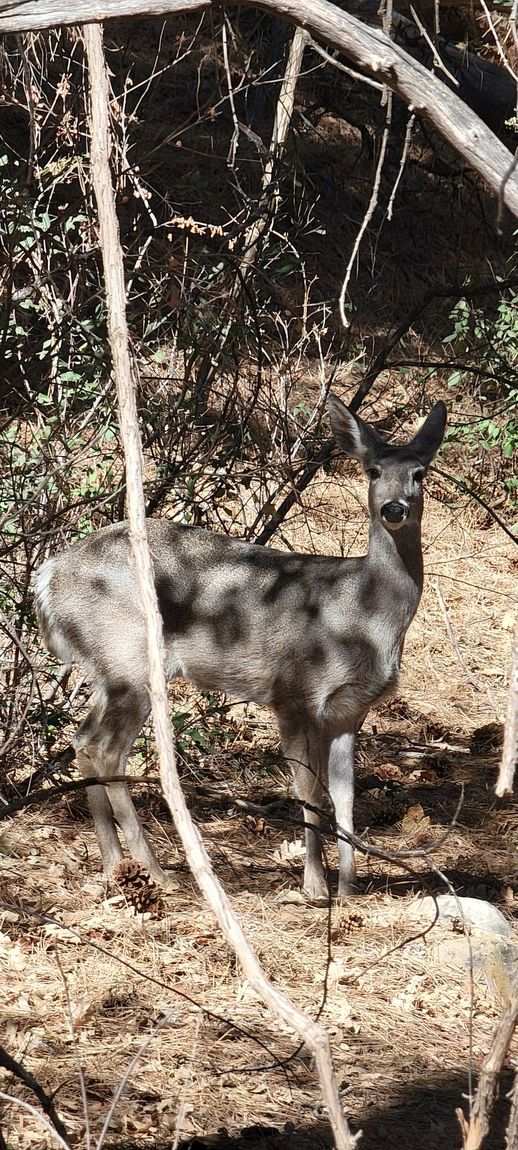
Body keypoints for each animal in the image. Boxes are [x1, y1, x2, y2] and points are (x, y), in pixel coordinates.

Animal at [33, 395, 444, 897]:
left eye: (420, 472)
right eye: (372, 470)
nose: (394, 508)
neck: (362, 614)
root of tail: (48, 576)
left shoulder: (351, 709)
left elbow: (346, 797)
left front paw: (349, 889)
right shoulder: (295, 692)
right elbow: (309, 791)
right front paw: (315, 887)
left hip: (108, 668)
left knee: (81, 739)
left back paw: (115, 864)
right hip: (130, 660)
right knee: (105, 748)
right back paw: (155, 869)